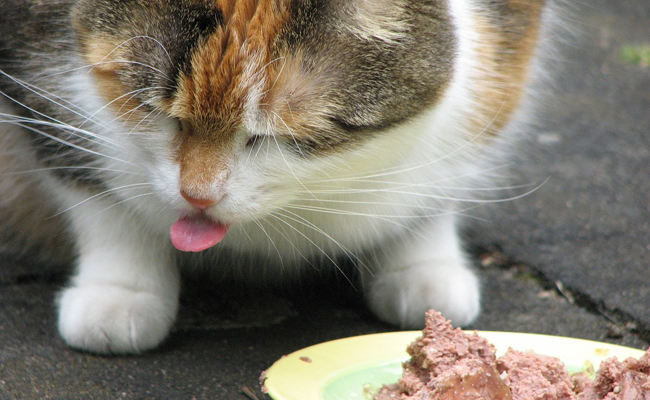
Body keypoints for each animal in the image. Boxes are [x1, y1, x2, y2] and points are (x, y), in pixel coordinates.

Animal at [0, 0, 548, 354]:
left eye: (267, 136)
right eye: (158, 112)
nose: (196, 196)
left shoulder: (508, 38)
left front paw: (423, 268)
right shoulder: (39, 64)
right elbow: (95, 191)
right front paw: (120, 292)